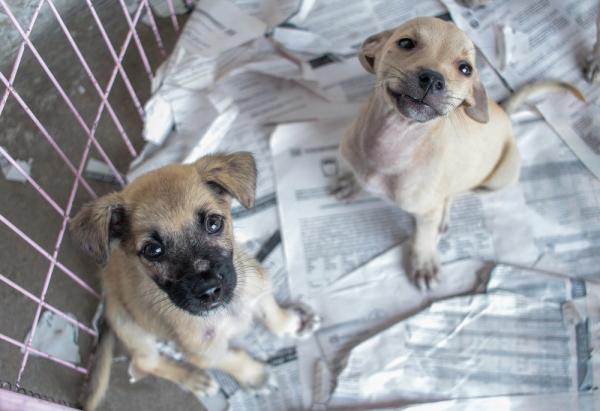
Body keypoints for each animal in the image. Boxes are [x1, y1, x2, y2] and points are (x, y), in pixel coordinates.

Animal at [71, 152, 318, 411]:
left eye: (214, 223)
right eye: (153, 250)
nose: (208, 291)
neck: (228, 310)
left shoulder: (257, 287)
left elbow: (271, 312)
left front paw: (292, 323)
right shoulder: (203, 352)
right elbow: (231, 359)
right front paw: (255, 376)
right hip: (129, 326)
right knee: (144, 363)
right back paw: (194, 379)